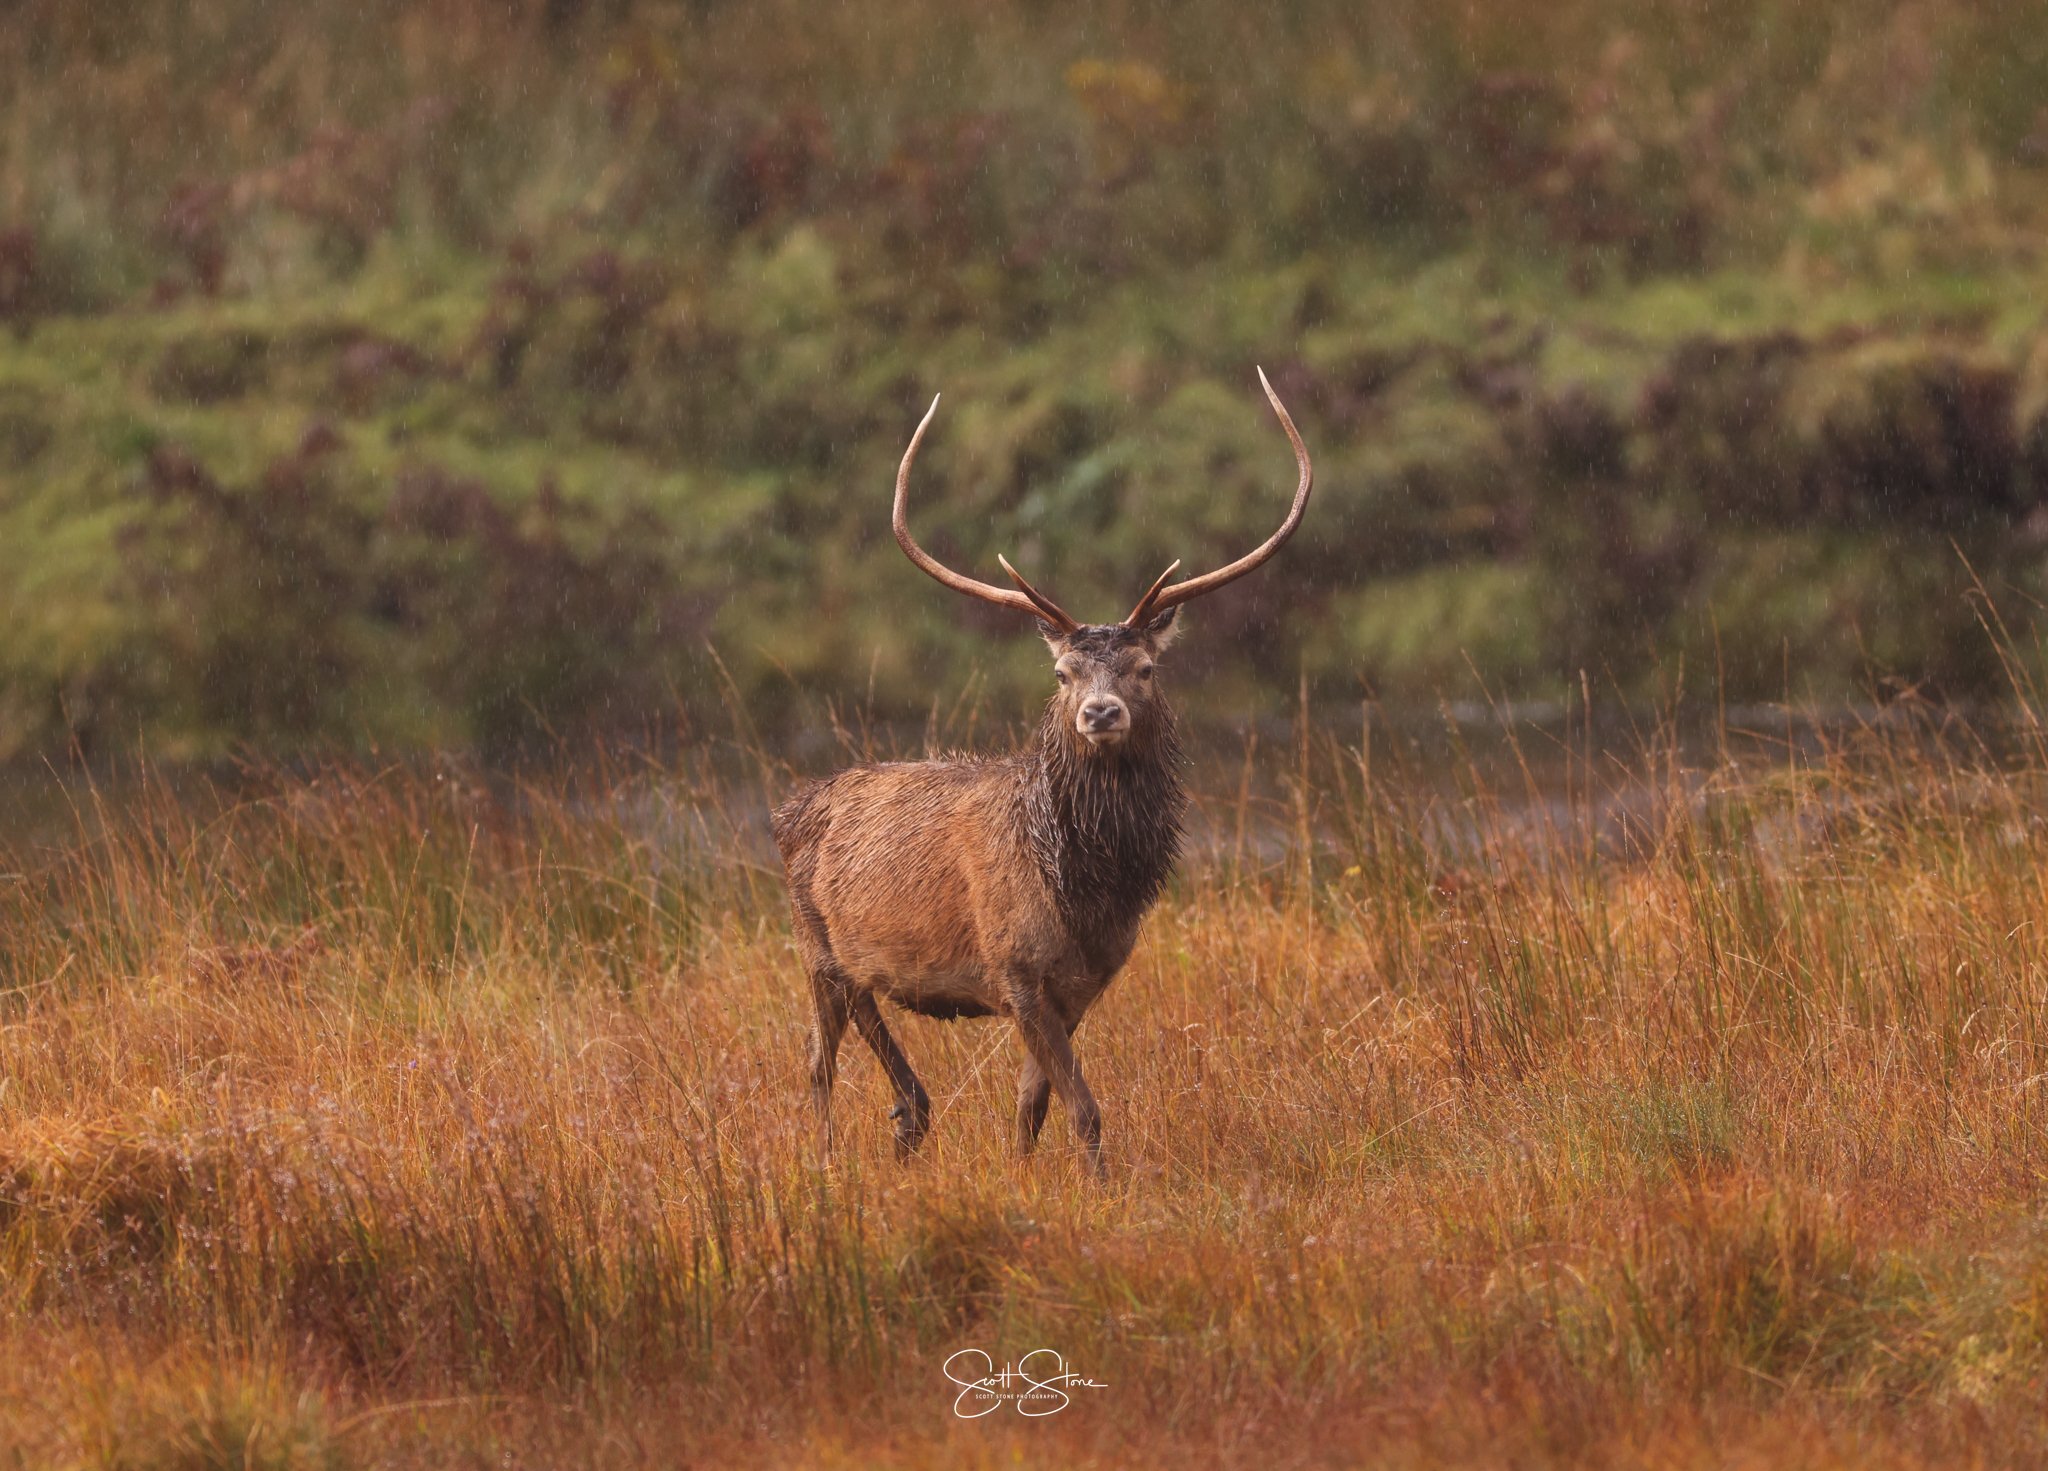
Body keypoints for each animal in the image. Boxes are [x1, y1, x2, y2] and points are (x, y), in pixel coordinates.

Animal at [771, 370, 1312, 1176]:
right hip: (814, 942)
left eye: (1145, 668)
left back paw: (907, 1121)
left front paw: (1023, 1177)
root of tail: (789, 808)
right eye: (1063, 673)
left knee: (869, 1035)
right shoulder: (1015, 969)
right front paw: (1097, 1184)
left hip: (851, 955)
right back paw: (833, 1157)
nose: (1100, 711)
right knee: (818, 1058)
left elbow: (1032, 1105)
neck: (1086, 889)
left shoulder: (1083, 983)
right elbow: (1085, 1107)